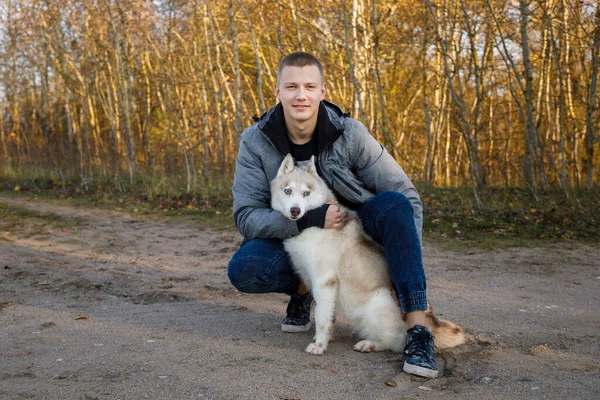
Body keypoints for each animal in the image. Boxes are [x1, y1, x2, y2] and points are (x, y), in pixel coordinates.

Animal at [270, 155, 466, 354]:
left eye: (306, 194)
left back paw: (371, 344)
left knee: (397, 341)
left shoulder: (324, 281)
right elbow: (328, 316)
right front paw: (325, 338)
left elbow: (321, 317)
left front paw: (319, 346)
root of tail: (430, 321)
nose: (295, 210)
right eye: (287, 191)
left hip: (377, 307)